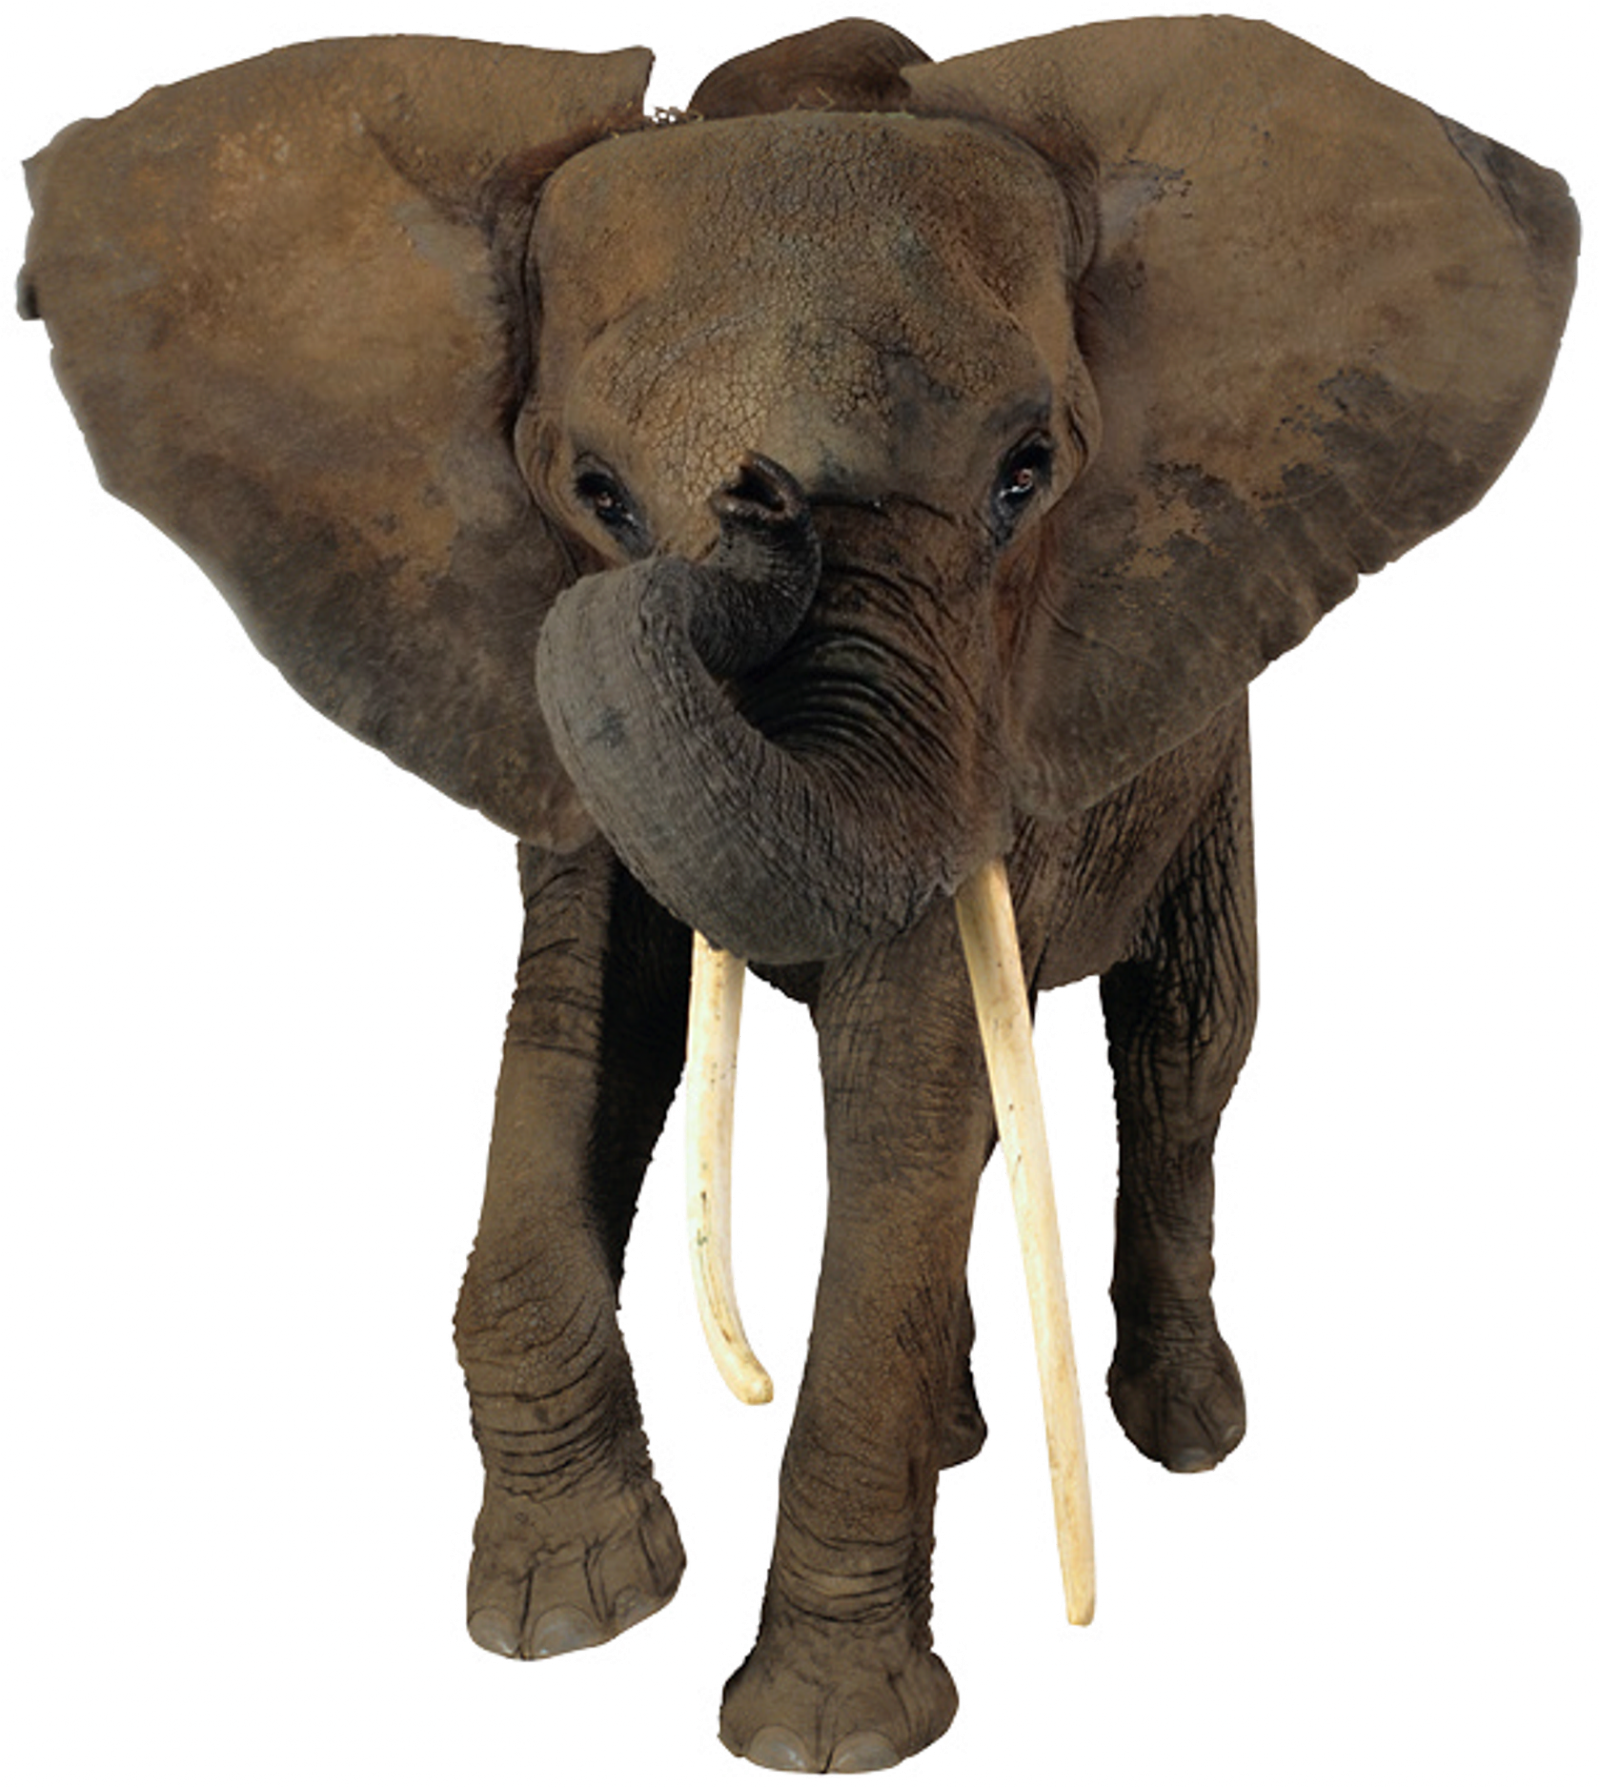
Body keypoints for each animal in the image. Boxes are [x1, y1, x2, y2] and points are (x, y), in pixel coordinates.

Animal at [12, 12, 1581, 1776]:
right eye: (596, 492)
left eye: (1028, 473)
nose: (759, 508)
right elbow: (584, 1025)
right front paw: (566, 1616)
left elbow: (909, 1074)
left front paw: (822, 1737)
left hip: (1198, 749)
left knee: (1188, 1032)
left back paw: (1185, 1440)